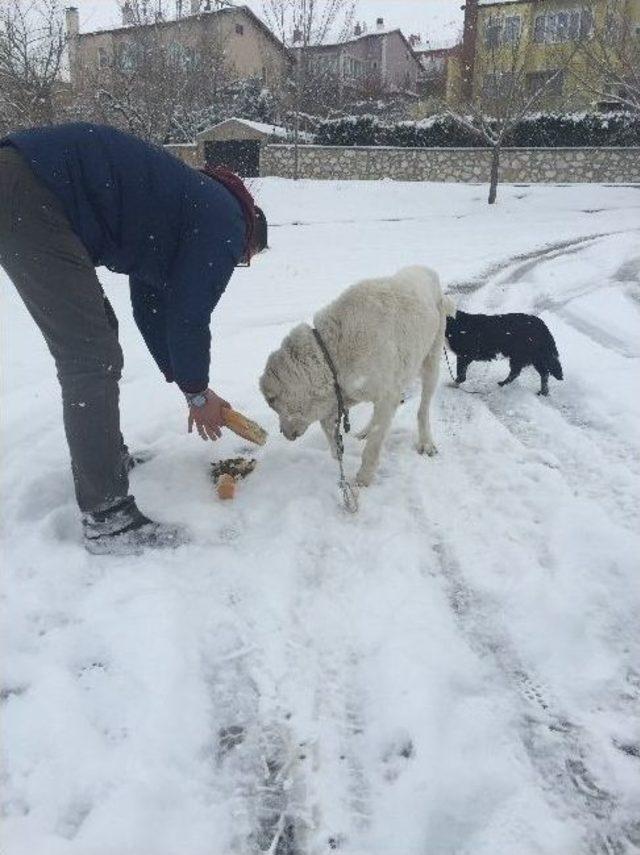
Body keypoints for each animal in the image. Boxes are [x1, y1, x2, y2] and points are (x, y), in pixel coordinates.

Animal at [260, 264, 456, 484]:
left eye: (272, 403)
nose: (283, 432)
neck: (332, 350)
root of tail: (429, 272)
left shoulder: (385, 395)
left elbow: (373, 445)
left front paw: (363, 479)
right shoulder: (348, 390)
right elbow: (328, 423)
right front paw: (337, 452)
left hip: (431, 361)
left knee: (423, 409)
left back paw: (426, 442)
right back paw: (365, 431)